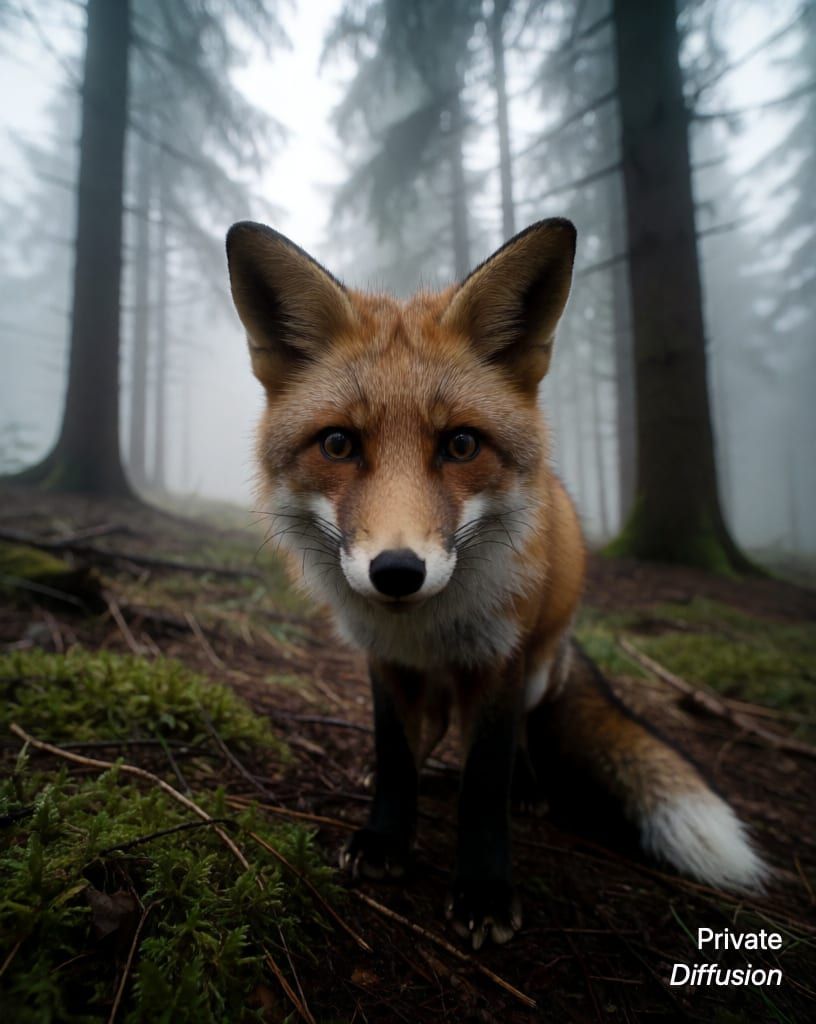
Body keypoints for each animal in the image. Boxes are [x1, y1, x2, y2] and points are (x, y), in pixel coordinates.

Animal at [225, 218, 767, 949]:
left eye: (461, 445)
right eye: (338, 445)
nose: (397, 572)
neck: (425, 628)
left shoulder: (497, 658)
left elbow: (484, 778)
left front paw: (483, 889)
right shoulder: (384, 658)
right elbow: (395, 754)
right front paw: (386, 838)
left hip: (538, 668)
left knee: (522, 741)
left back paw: (530, 790)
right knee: (431, 731)